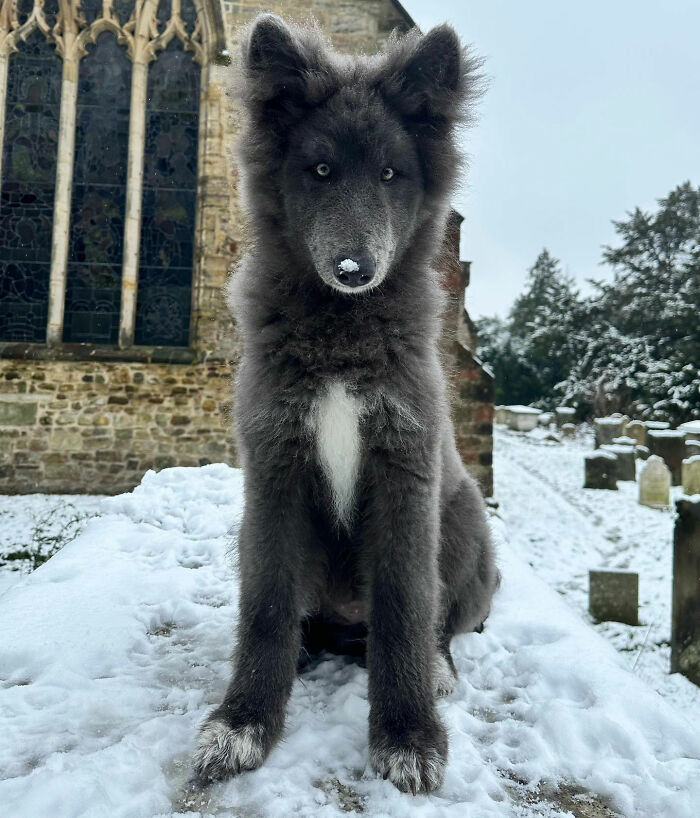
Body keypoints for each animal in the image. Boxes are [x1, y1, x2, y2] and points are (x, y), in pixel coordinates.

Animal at [193, 14, 499, 795]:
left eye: (392, 174)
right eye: (321, 170)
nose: (355, 269)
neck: (341, 335)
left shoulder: (404, 471)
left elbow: (406, 606)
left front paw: (409, 736)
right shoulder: (274, 470)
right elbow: (267, 608)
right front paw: (242, 724)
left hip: (467, 526)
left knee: (439, 620)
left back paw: (438, 671)